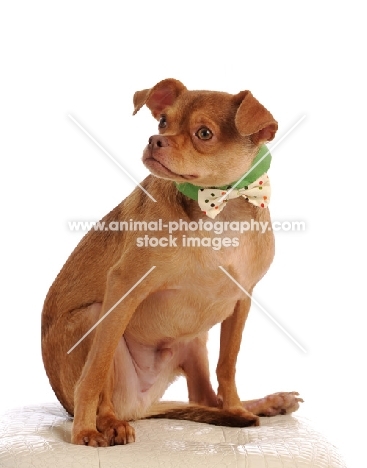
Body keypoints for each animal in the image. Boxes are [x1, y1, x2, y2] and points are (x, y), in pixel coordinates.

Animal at [41, 78, 304, 448]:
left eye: (204, 133)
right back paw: (107, 424)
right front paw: (82, 432)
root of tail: (140, 407)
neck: (219, 210)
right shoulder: (124, 287)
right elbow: (93, 374)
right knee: (106, 392)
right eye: (163, 122)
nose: (155, 140)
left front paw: (238, 409)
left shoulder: (242, 299)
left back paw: (260, 405)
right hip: (93, 319)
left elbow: (228, 366)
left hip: (195, 342)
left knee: (205, 399)